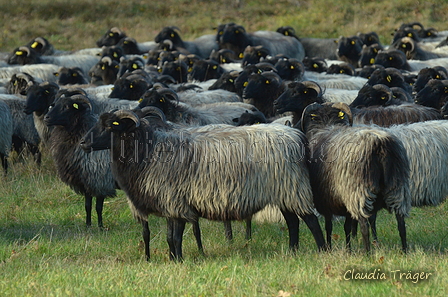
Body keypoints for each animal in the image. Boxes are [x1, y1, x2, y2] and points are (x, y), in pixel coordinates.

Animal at [80, 108, 326, 260]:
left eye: (110, 126)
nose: (83, 143)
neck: (148, 152)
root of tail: (296, 134)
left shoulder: (175, 201)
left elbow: (174, 237)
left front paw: (178, 261)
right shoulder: (170, 204)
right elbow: (170, 237)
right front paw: (173, 259)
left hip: (294, 187)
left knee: (311, 221)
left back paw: (323, 250)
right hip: (284, 191)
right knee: (293, 222)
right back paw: (292, 251)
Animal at [300, 102, 410, 252]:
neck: (325, 126)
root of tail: (380, 143)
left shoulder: (325, 199)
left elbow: (329, 227)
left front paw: (330, 247)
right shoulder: (342, 201)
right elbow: (347, 227)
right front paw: (348, 250)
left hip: (357, 192)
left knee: (364, 225)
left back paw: (367, 253)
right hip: (398, 187)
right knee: (401, 223)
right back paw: (404, 251)